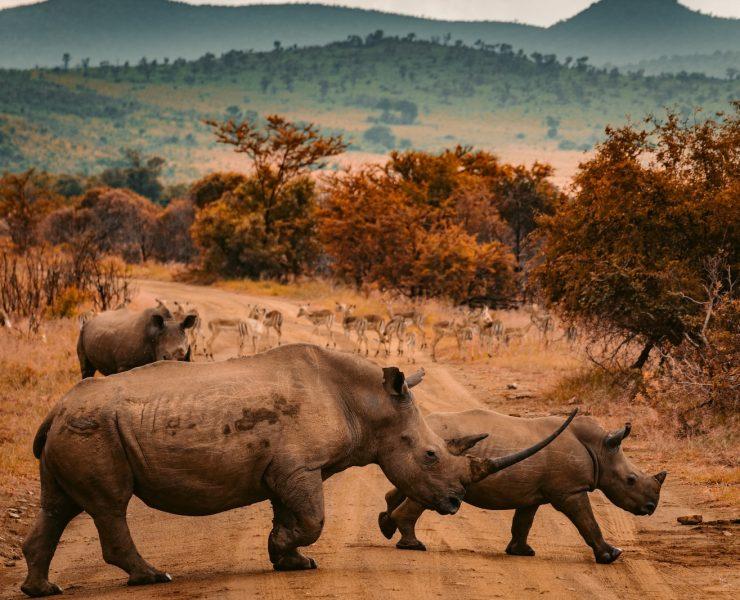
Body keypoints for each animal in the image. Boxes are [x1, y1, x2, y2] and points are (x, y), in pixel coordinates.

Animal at [21, 345, 575, 597]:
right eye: (431, 456)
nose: (455, 504)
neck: (369, 404)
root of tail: (54, 409)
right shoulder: (300, 466)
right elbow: (313, 519)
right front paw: (289, 551)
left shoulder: (289, 468)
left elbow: (292, 514)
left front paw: (288, 559)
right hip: (94, 428)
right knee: (110, 505)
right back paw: (153, 577)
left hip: (76, 426)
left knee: (58, 506)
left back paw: (42, 590)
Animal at [379, 410, 666, 564]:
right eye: (630, 480)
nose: (651, 507)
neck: (600, 449)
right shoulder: (570, 491)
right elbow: (588, 522)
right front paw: (612, 555)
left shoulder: (533, 494)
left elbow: (523, 522)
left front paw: (521, 552)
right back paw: (413, 545)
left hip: (424, 454)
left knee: (408, 485)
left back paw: (387, 527)